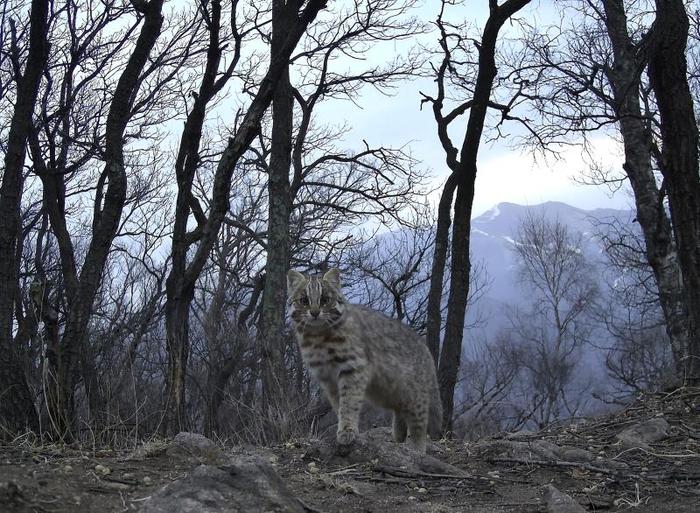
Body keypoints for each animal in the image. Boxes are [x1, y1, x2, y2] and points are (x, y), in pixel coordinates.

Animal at [286, 266, 440, 450]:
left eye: (325, 300)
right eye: (304, 300)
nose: (315, 313)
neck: (318, 338)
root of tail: (425, 348)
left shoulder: (353, 368)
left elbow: (349, 403)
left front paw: (347, 431)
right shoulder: (328, 378)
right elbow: (339, 404)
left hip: (414, 397)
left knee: (419, 428)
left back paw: (416, 450)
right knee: (400, 412)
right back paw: (398, 437)